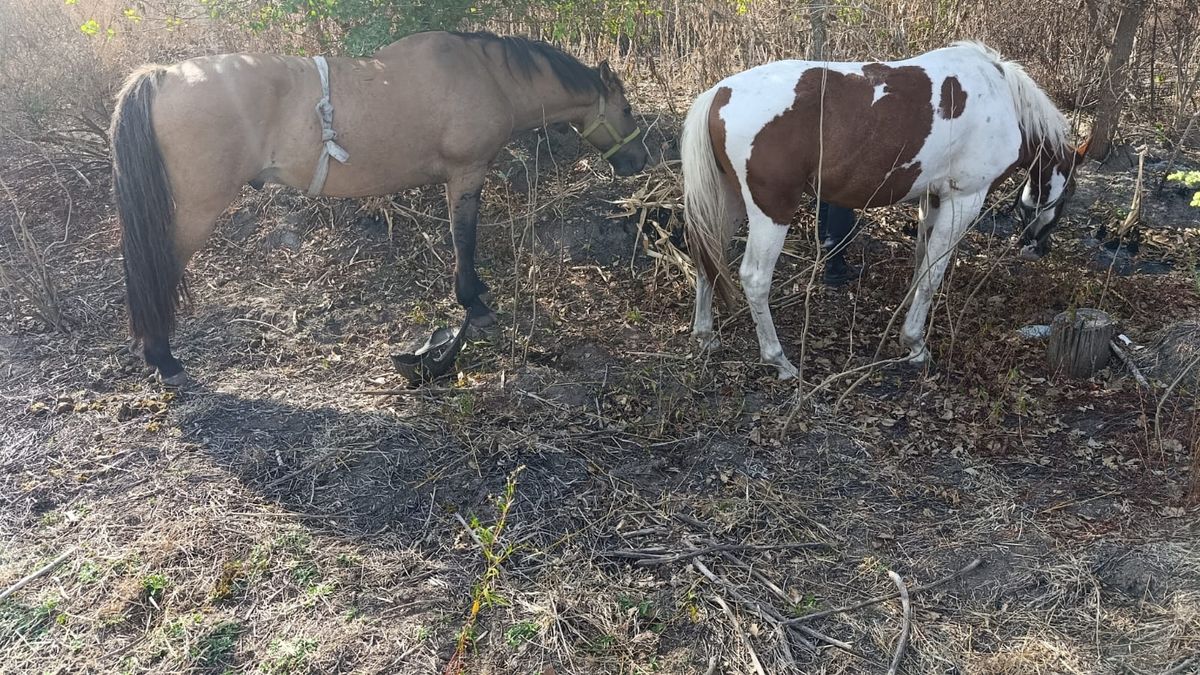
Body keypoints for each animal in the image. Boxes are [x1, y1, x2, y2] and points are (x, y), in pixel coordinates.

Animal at [111, 30, 649, 386]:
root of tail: (163, 77)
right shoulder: (467, 173)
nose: (640, 161)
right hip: (196, 212)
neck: (487, 75)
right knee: (158, 272)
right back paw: (164, 359)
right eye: (626, 110)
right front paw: (474, 303)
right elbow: (465, 238)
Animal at [680, 41, 1086, 380]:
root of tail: (719, 93)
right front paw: (915, 345)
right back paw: (778, 360)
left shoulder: (932, 198)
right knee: (754, 278)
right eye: (1069, 194)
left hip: (730, 202)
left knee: (707, 256)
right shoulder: (964, 199)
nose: (1038, 247)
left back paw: (705, 335)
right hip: (772, 210)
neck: (1002, 100)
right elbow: (933, 273)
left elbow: (922, 262)